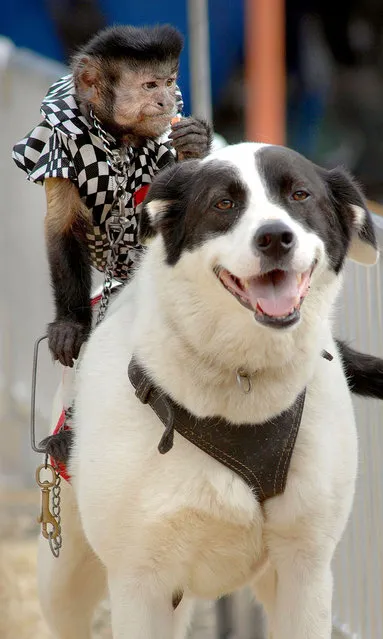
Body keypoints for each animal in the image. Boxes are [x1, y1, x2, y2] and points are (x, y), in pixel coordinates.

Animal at [37, 144, 380, 639]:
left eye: (300, 194)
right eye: (224, 204)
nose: (275, 237)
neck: (243, 380)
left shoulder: (306, 572)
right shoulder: (139, 583)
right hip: (64, 576)